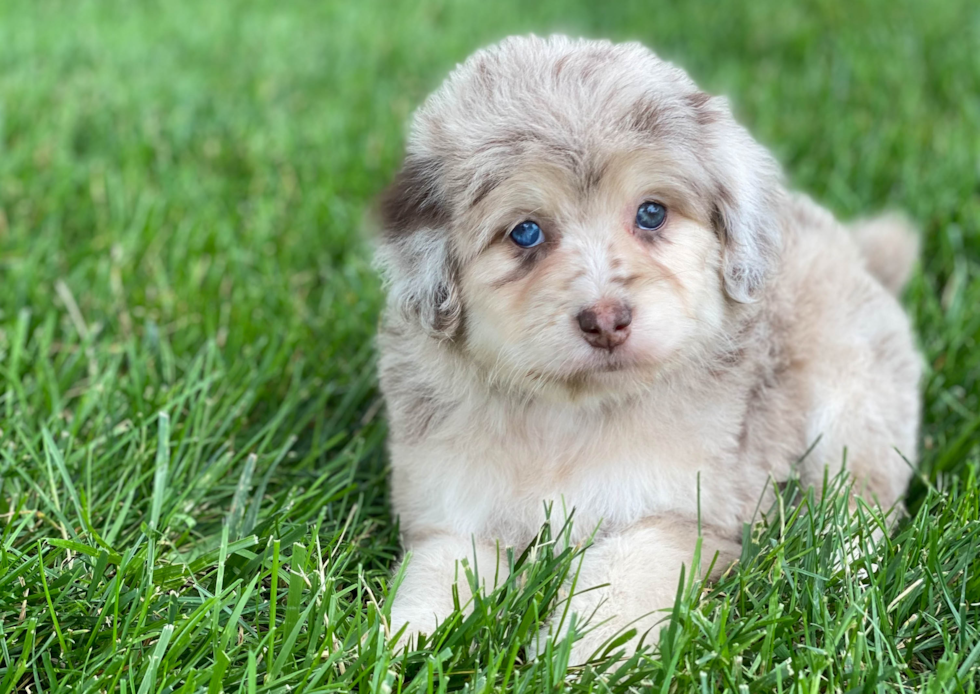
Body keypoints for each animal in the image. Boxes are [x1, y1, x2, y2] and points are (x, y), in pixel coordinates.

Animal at [372, 34, 924, 664]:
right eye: (526, 232)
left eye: (652, 213)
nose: (606, 321)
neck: (570, 417)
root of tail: (853, 247)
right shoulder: (454, 513)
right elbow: (439, 577)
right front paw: (395, 648)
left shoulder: (678, 514)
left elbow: (618, 586)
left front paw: (578, 661)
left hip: (854, 407)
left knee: (860, 503)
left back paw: (843, 582)